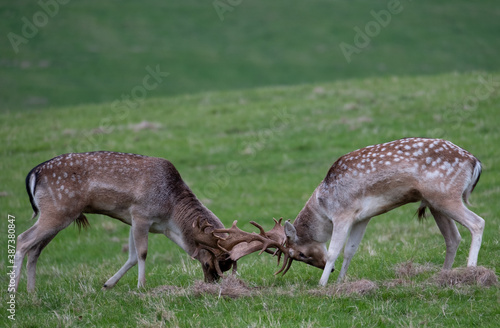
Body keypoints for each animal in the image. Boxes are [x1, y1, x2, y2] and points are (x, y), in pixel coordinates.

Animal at [13, 152, 242, 292]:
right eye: (210, 262)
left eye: (226, 268)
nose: (211, 283)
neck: (169, 218)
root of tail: (33, 174)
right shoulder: (141, 214)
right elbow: (142, 253)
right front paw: (141, 286)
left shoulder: (132, 220)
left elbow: (131, 256)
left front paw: (108, 284)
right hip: (57, 211)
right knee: (23, 239)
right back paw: (15, 292)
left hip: (58, 215)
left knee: (35, 249)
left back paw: (32, 292)